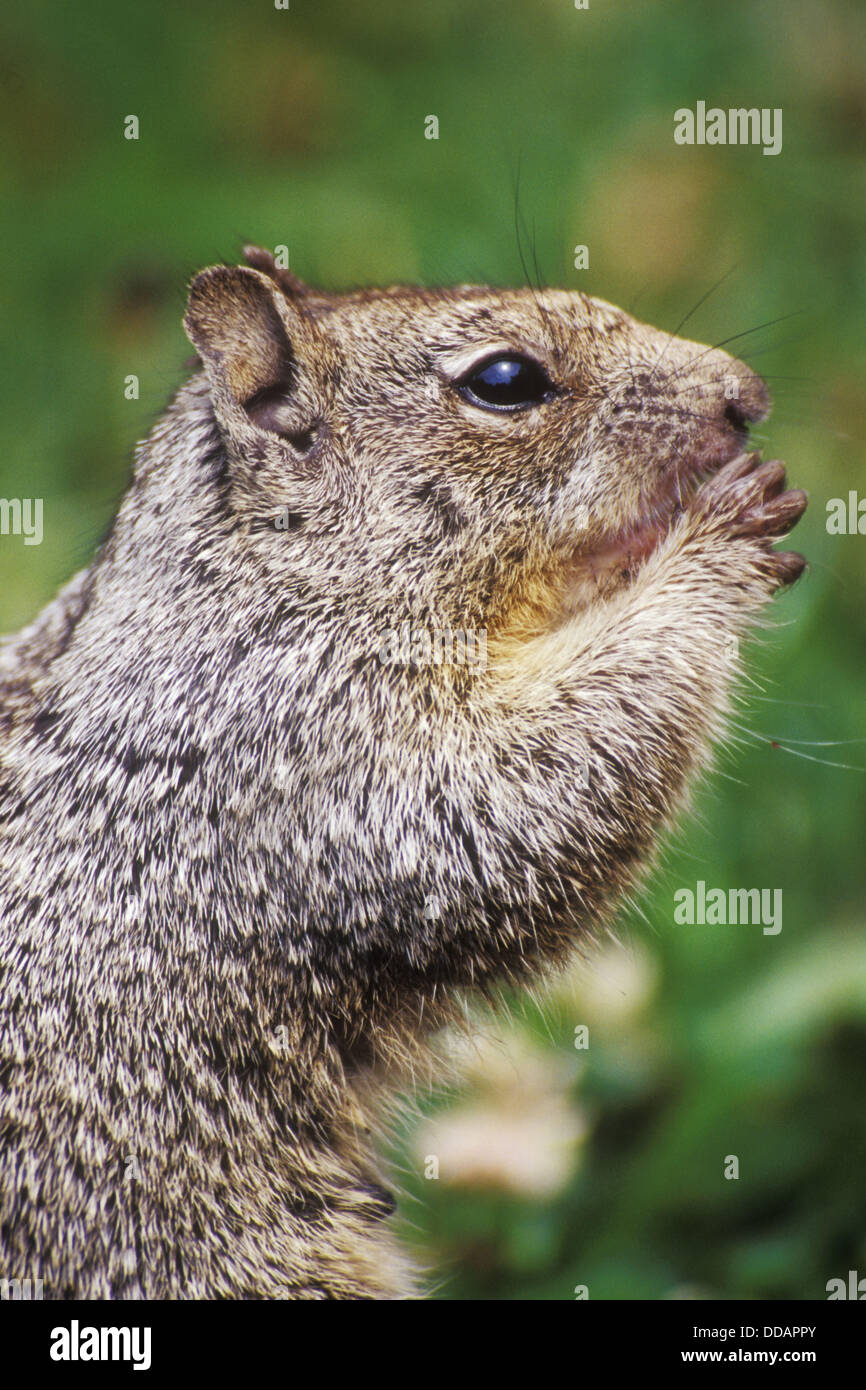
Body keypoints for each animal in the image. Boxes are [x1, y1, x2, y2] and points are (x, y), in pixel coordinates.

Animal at [0, 246, 807, 1299]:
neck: (257, 589)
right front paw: (720, 539)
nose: (744, 396)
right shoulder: (301, 751)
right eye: (504, 381)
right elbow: (519, 804)